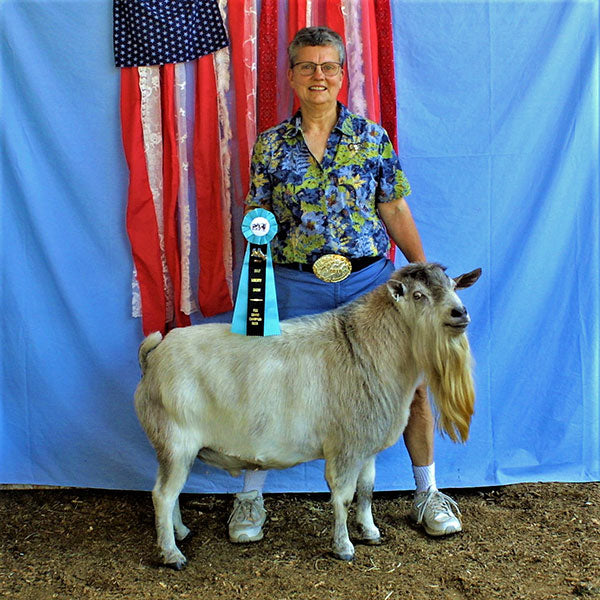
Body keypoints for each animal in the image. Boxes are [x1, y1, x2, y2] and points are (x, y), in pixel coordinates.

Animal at [134, 262, 480, 568]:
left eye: (453, 287)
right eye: (419, 295)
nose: (460, 313)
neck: (365, 348)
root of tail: (153, 356)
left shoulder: (366, 446)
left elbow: (367, 491)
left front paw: (370, 532)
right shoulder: (344, 447)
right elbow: (343, 497)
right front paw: (344, 548)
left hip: (173, 448)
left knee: (169, 494)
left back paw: (181, 532)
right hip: (176, 441)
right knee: (162, 495)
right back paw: (172, 554)